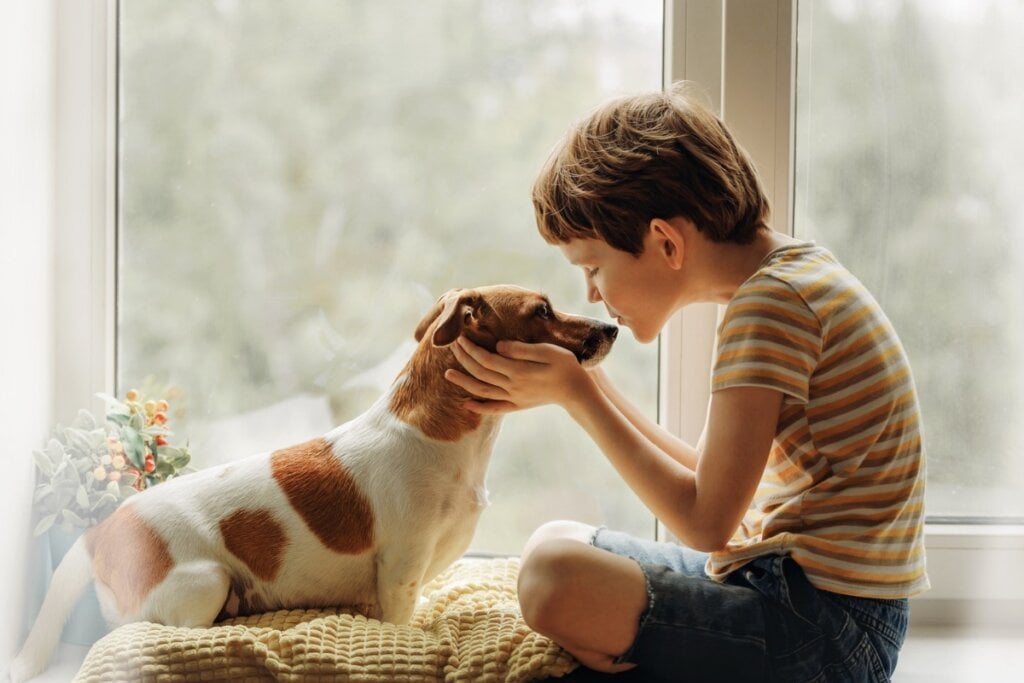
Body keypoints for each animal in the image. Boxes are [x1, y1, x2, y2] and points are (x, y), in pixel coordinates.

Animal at [12, 286, 614, 679]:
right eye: (542, 310)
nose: (611, 326)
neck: (445, 437)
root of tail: (101, 533)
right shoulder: (401, 571)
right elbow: (403, 618)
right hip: (206, 580)